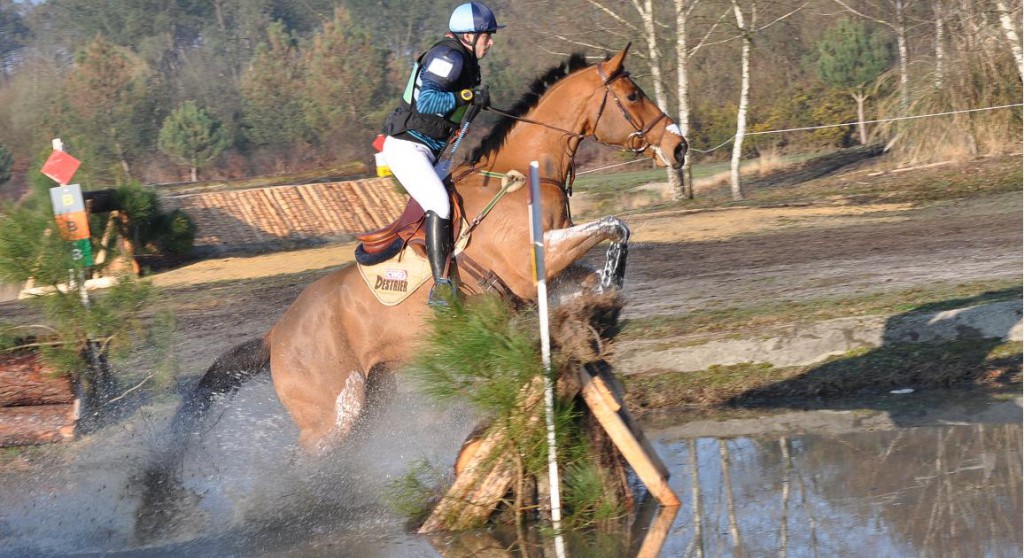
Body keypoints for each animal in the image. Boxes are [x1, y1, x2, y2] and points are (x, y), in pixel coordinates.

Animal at [169, 43, 688, 452]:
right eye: (633, 95)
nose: (679, 147)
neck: (527, 175)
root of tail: (275, 334)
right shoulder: (530, 263)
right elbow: (616, 224)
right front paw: (608, 293)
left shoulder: (548, 268)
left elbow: (603, 252)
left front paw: (602, 303)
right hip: (332, 418)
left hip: (372, 399)